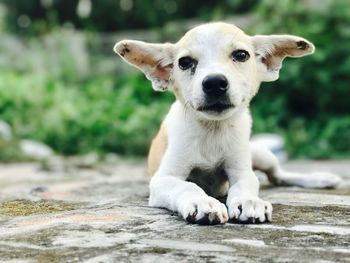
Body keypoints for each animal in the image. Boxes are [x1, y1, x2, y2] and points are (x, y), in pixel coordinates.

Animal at [115, 22, 342, 225]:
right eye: (185, 62)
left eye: (241, 55)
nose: (215, 82)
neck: (212, 131)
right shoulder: (163, 179)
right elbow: (187, 186)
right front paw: (203, 203)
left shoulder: (242, 171)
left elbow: (245, 185)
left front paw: (249, 201)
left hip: (260, 153)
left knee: (278, 175)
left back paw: (321, 179)